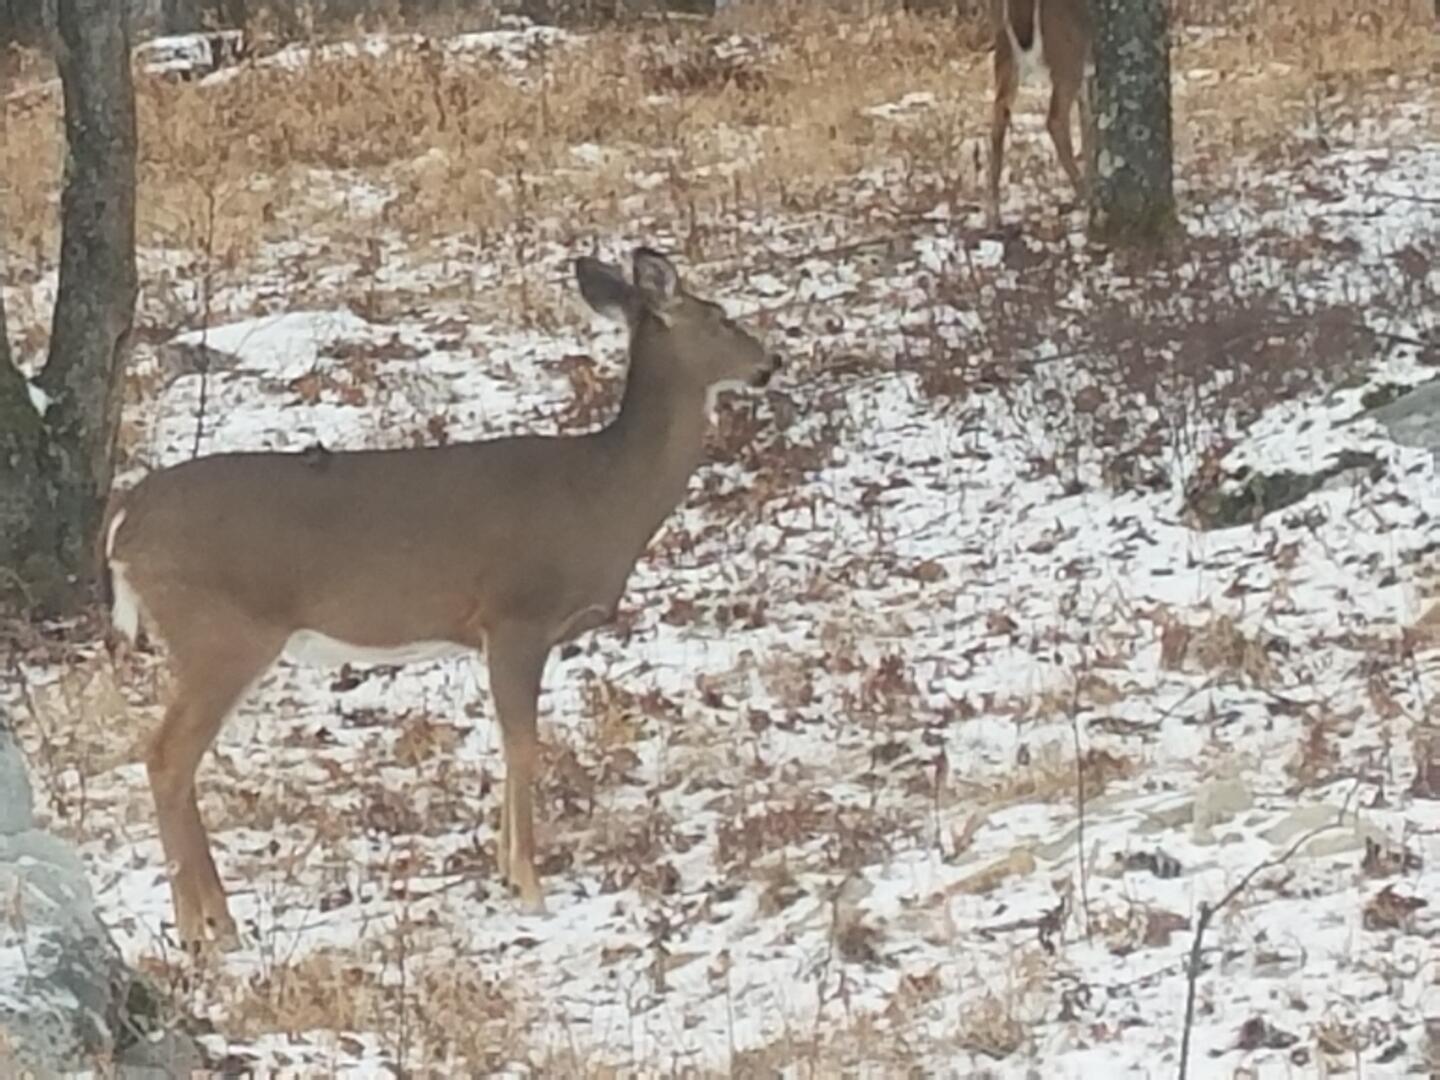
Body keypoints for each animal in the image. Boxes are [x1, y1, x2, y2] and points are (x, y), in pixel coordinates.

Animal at [102, 249, 783, 950]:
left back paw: (215, 920)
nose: (770, 363)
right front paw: (529, 885)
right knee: (167, 757)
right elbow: (523, 743)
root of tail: (124, 521)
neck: (605, 495)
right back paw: (203, 928)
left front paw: (508, 873)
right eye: (720, 316)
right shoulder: (515, 615)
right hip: (222, 632)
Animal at [990, 0, 1088, 226]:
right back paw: (1085, 194)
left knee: (998, 115)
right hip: (1068, 57)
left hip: (1005, 53)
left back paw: (994, 213)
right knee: (1055, 119)